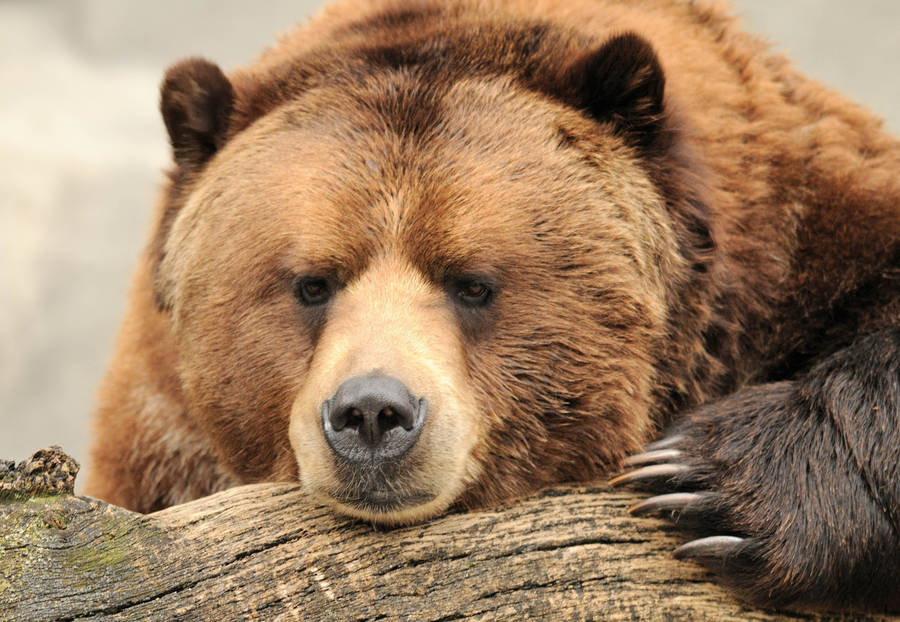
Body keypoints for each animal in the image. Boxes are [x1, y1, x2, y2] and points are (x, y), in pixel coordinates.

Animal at [88, 0, 896, 616]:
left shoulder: (795, 234)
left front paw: (708, 485)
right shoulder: (157, 441)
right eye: (312, 282)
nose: (372, 414)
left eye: (471, 282)